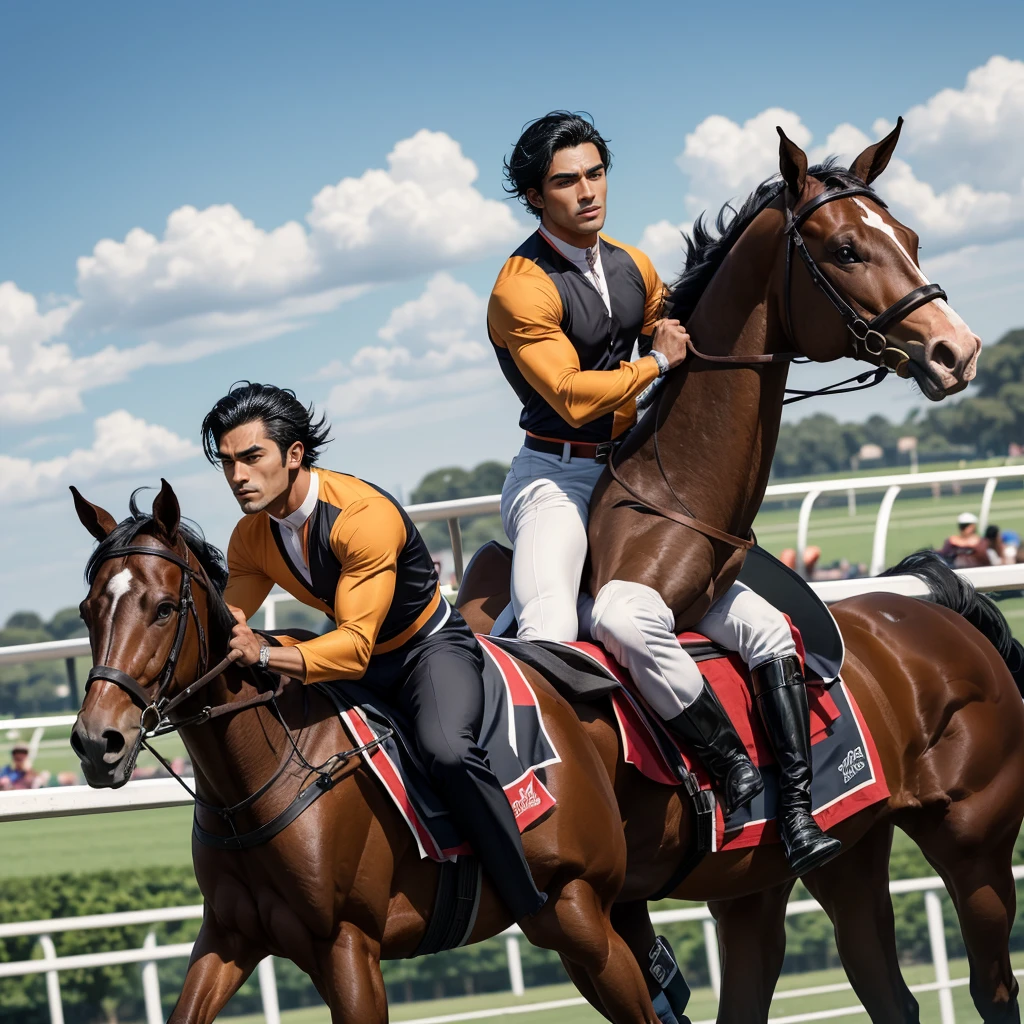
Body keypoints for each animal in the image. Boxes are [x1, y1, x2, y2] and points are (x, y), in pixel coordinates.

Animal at [70, 481, 663, 1024]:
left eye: (165, 608)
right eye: (87, 609)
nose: (98, 740)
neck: (262, 779)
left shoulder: (347, 946)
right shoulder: (228, 937)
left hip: (576, 909)